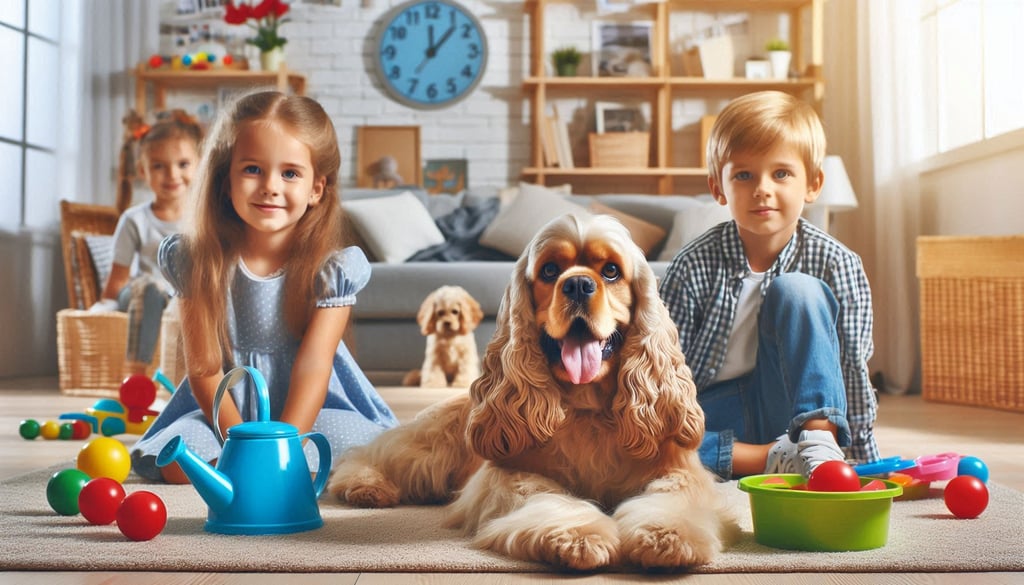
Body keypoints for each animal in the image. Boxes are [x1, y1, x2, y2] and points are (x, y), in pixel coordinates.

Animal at [327, 213, 737, 569]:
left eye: (611, 271)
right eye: (550, 271)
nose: (578, 284)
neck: (588, 410)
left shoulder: (680, 469)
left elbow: (674, 497)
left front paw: (665, 536)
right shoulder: (507, 473)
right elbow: (548, 497)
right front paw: (579, 535)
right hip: (429, 452)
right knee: (365, 455)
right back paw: (367, 487)